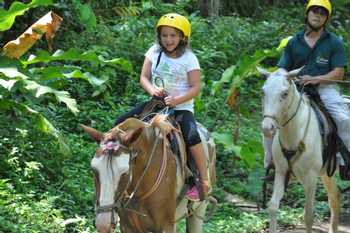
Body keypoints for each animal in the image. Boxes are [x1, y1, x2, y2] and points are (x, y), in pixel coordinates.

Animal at [81, 114, 216, 232]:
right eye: (94, 169)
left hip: (200, 207)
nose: (103, 224)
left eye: (125, 173)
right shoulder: (127, 227)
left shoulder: (166, 225)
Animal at [262, 68, 340, 233]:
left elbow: (308, 215)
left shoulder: (311, 178)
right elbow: (273, 206)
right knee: (335, 197)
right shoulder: (281, 171)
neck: (295, 135)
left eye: (284, 93)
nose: (267, 128)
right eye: (263, 91)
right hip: (326, 173)